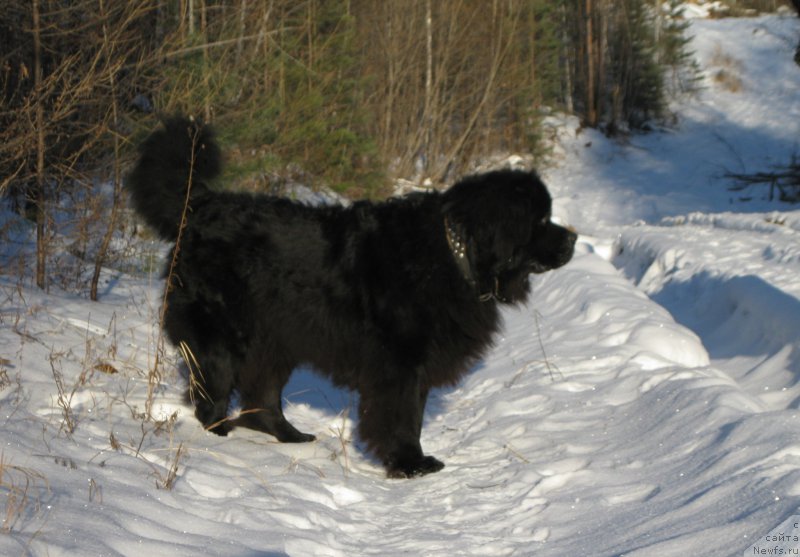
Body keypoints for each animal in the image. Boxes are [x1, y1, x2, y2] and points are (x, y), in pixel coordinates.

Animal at [126, 116, 576, 478]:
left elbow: (414, 415)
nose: (572, 238)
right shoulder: (399, 364)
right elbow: (401, 417)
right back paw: (219, 439)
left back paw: (291, 436)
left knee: (263, 398)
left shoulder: (416, 364)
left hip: (275, 339)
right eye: (540, 220)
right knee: (212, 396)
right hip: (222, 337)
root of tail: (200, 204)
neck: (455, 252)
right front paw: (409, 464)